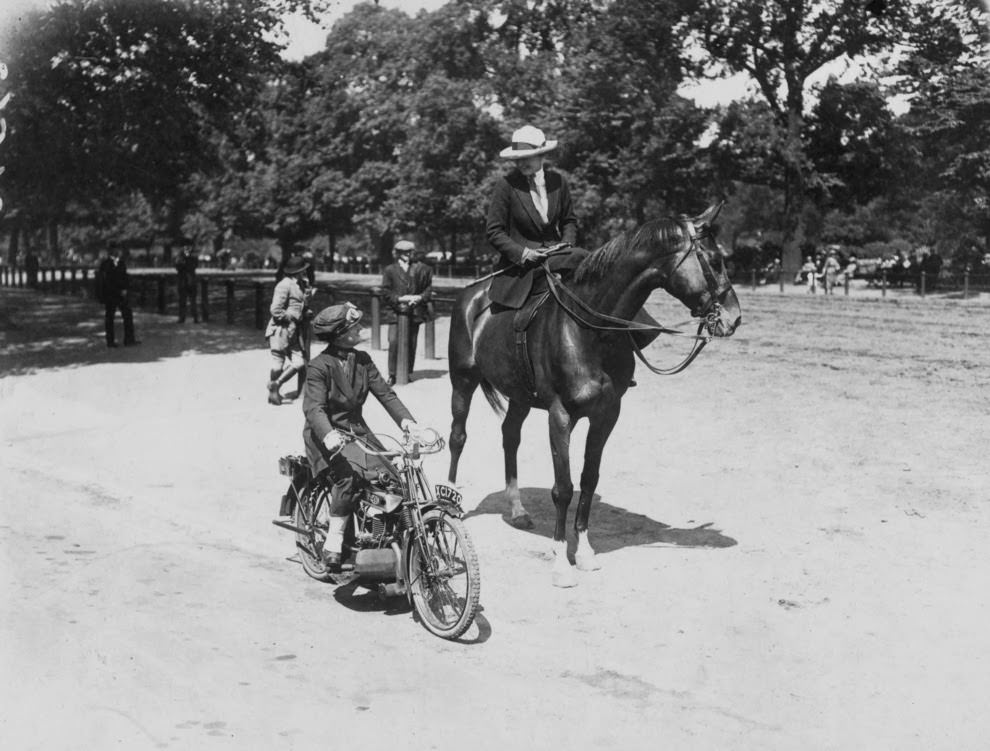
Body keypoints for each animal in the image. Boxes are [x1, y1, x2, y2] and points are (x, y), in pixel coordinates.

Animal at [446, 204, 740, 588]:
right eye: (716, 260)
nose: (734, 318)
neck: (587, 329)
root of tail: (470, 295)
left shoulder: (606, 414)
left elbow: (588, 480)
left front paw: (584, 553)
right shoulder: (560, 415)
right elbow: (563, 487)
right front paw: (561, 564)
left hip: (520, 395)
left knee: (510, 437)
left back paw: (517, 509)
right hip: (462, 381)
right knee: (457, 437)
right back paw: (448, 502)